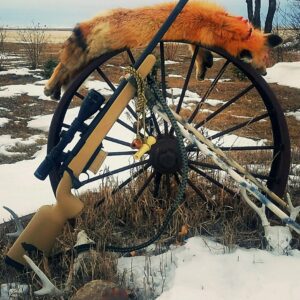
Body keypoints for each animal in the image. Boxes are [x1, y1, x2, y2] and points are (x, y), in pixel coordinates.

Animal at [44, 1, 282, 99]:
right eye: (264, 60)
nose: (265, 73)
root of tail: (89, 23)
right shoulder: (202, 34)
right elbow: (199, 54)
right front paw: (203, 67)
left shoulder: (196, 39)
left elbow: (199, 54)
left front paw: (202, 69)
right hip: (87, 56)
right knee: (61, 67)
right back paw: (49, 87)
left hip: (87, 60)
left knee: (68, 75)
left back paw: (55, 91)